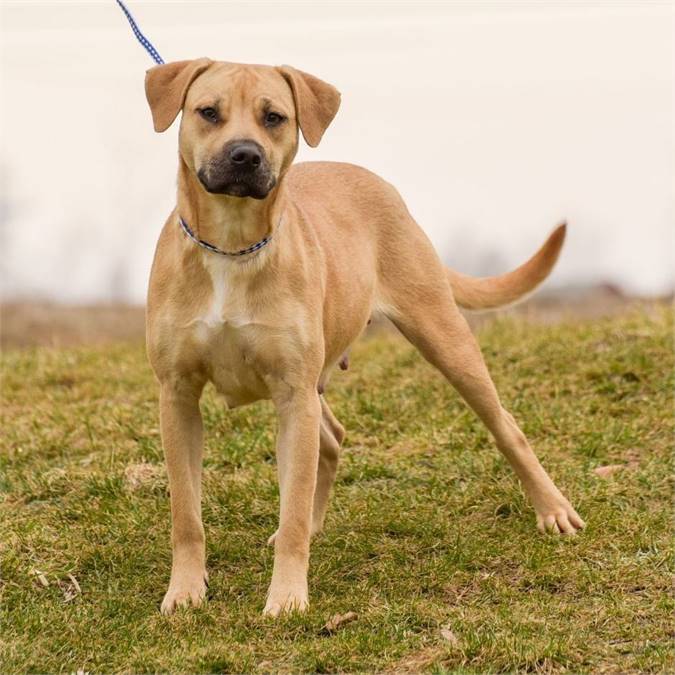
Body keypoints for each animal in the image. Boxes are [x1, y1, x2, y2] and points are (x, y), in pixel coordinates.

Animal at [144, 59, 588, 616]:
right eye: (208, 112)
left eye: (274, 117)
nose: (245, 154)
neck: (231, 245)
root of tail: (382, 185)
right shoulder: (178, 396)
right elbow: (187, 514)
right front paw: (185, 590)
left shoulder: (292, 393)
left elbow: (291, 508)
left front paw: (286, 596)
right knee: (328, 443)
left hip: (443, 338)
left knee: (507, 426)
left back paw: (552, 509)